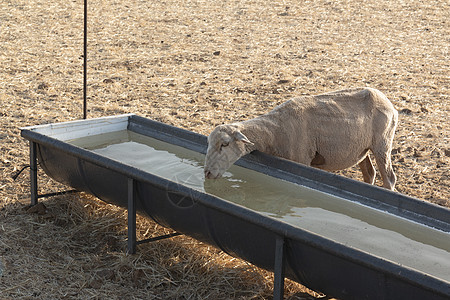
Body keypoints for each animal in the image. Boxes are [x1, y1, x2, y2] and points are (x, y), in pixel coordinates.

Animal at [204, 87, 398, 190]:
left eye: (225, 144)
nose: (207, 173)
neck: (274, 131)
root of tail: (387, 101)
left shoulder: (302, 160)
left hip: (382, 144)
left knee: (389, 178)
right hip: (362, 148)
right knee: (369, 173)